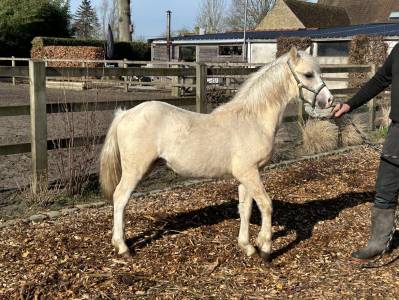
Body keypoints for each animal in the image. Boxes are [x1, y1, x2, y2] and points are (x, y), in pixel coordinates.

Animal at [100, 47, 334, 260]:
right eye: (308, 74)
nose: (329, 101)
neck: (253, 120)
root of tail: (125, 114)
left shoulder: (247, 176)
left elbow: (246, 209)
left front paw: (247, 247)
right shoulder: (250, 173)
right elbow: (266, 205)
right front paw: (265, 249)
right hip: (134, 171)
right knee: (120, 198)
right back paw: (123, 247)